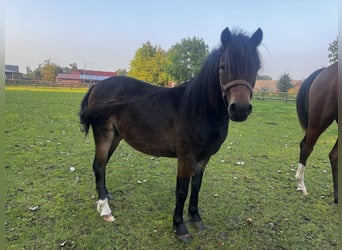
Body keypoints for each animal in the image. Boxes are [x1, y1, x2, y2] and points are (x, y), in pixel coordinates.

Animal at [79, 27, 264, 242]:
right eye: (223, 66)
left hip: (116, 137)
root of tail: (96, 86)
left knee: (101, 165)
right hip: (104, 134)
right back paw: (105, 210)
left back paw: (106, 196)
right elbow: (182, 191)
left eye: (256, 67)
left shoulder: (204, 158)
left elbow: (197, 186)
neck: (198, 109)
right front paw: (180, 228)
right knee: (99, 166)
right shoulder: (185, 157)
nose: (240, 109)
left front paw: (196, 219)